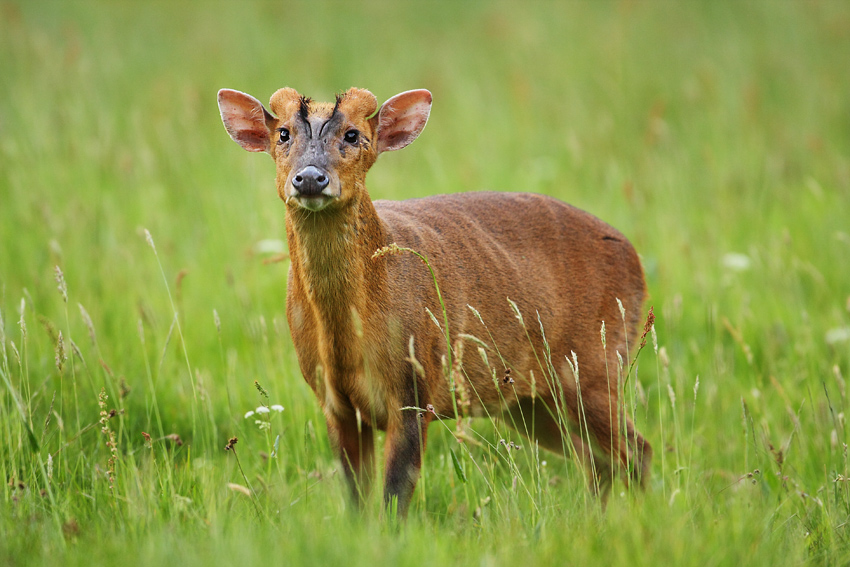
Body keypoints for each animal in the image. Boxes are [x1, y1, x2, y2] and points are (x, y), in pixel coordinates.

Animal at [217, 86, 648, 516]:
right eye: (283, 133)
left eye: (353, 134)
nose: (309, 177)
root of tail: (635, 258)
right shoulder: (334, 403)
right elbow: (357, 500)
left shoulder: (415, 385)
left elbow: (394, 497)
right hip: (532, 402)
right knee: (598, 459)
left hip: (594, 367)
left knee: (636, 450)